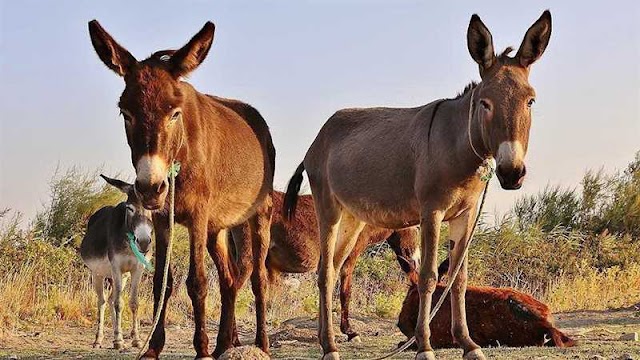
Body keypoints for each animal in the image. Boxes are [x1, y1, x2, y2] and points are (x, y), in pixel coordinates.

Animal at [80, 174, 154, 348]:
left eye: (150, 208)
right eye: (130, 208)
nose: (144, 242)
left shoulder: (137, 269)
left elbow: (133, 303)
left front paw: (136, 339)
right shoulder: (116, 266)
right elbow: (119, 303)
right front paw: (120, 340)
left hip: (122, 276)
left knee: (111, 299)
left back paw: (115, 336)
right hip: (98, 274)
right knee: (102, 301)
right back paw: (99, 339)